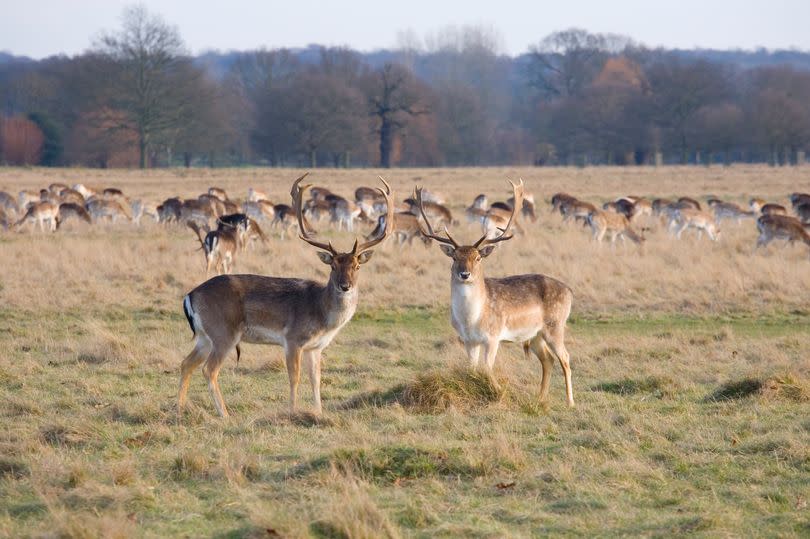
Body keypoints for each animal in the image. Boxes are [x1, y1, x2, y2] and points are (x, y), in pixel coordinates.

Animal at [178, 173, 394, 418]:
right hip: (223, 331)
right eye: (333, 266)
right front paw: (293, 410)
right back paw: (225, 414)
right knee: (209, 369)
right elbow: (294, 377)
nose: (345, 286)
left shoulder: (315, 347)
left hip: (205, 336)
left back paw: (179, 409)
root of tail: (189, 296)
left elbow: (316, 380)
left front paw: (318, 412)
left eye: (357, 266)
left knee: (186, 363)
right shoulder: (292, 339)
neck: (322, 313)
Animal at [416, 179, 576, 408]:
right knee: (548, 359)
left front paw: (497, 393)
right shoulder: (468, 340)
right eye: (454, 257)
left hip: (555, 326)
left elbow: (487, 368)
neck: (471, 319)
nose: (464, 274)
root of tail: (570, 291)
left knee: (565, 358)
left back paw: (570, 402)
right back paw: (539, 399)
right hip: (535, 334)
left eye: (477, 258)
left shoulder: (493, 337)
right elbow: (472, 369)